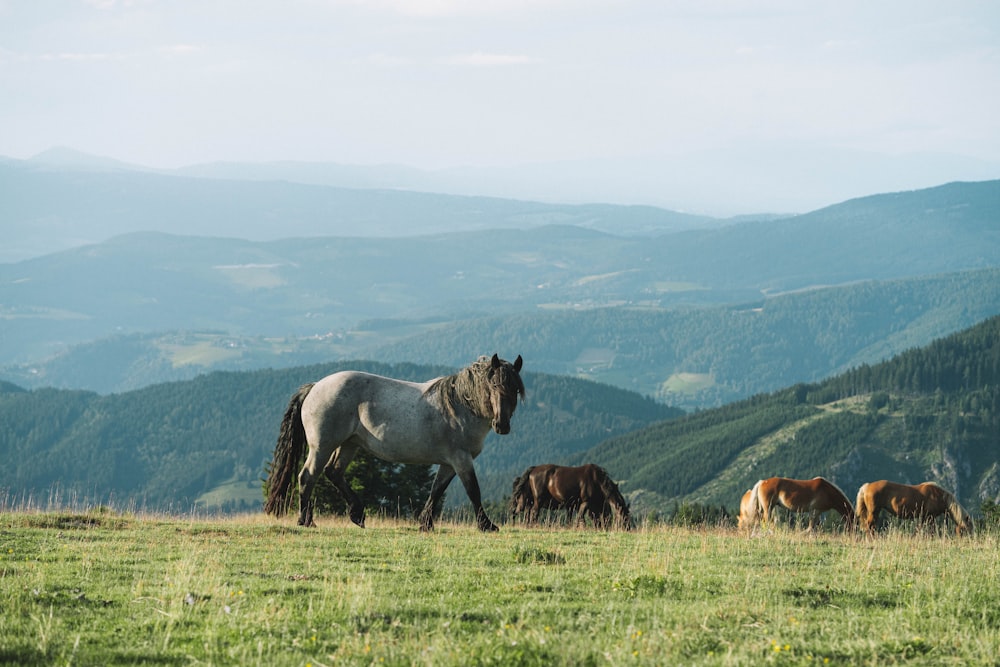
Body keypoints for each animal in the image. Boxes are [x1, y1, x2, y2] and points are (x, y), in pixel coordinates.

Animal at [266, 354, 532, 532]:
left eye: (516, 389)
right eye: (494, 385)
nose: (502, 425)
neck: (460, 406)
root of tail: (314, 387)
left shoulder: (449, 463)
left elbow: (436, 490)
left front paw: (425, 524)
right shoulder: (461, 459)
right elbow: (473, 491)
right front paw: (487, 525)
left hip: (349, 444)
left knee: (334, 472)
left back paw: (357, 515)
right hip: (322, 446)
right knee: (307, 476)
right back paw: (307, 520)